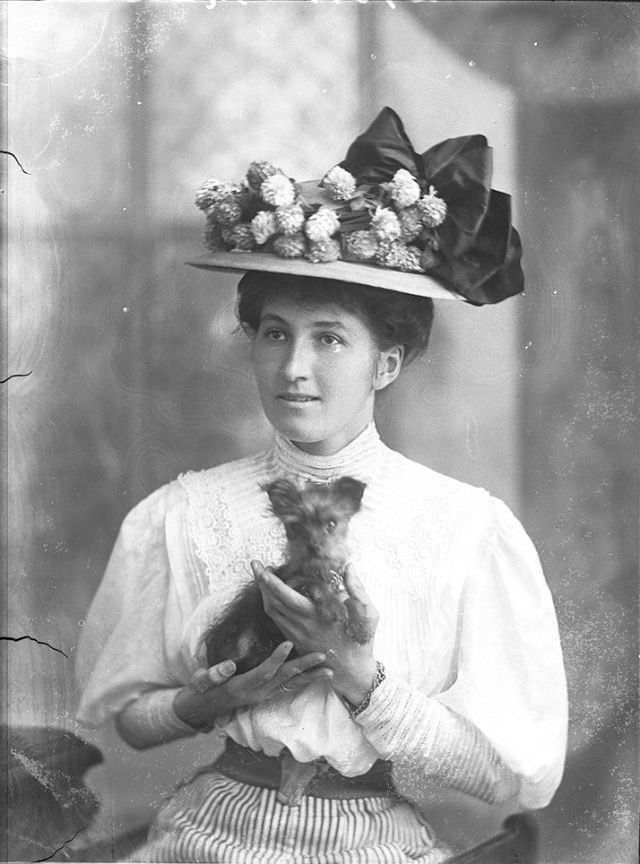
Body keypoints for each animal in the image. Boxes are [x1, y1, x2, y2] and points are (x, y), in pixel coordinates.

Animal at [202, 472, 368, 676]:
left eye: (331, 524)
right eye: (296, 526)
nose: (313, 546)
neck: (318, 569)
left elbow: (350, 599)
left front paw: (360, 622)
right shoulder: (289, 584)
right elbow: (314, 584)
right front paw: (332, 605)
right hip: (243, 629)